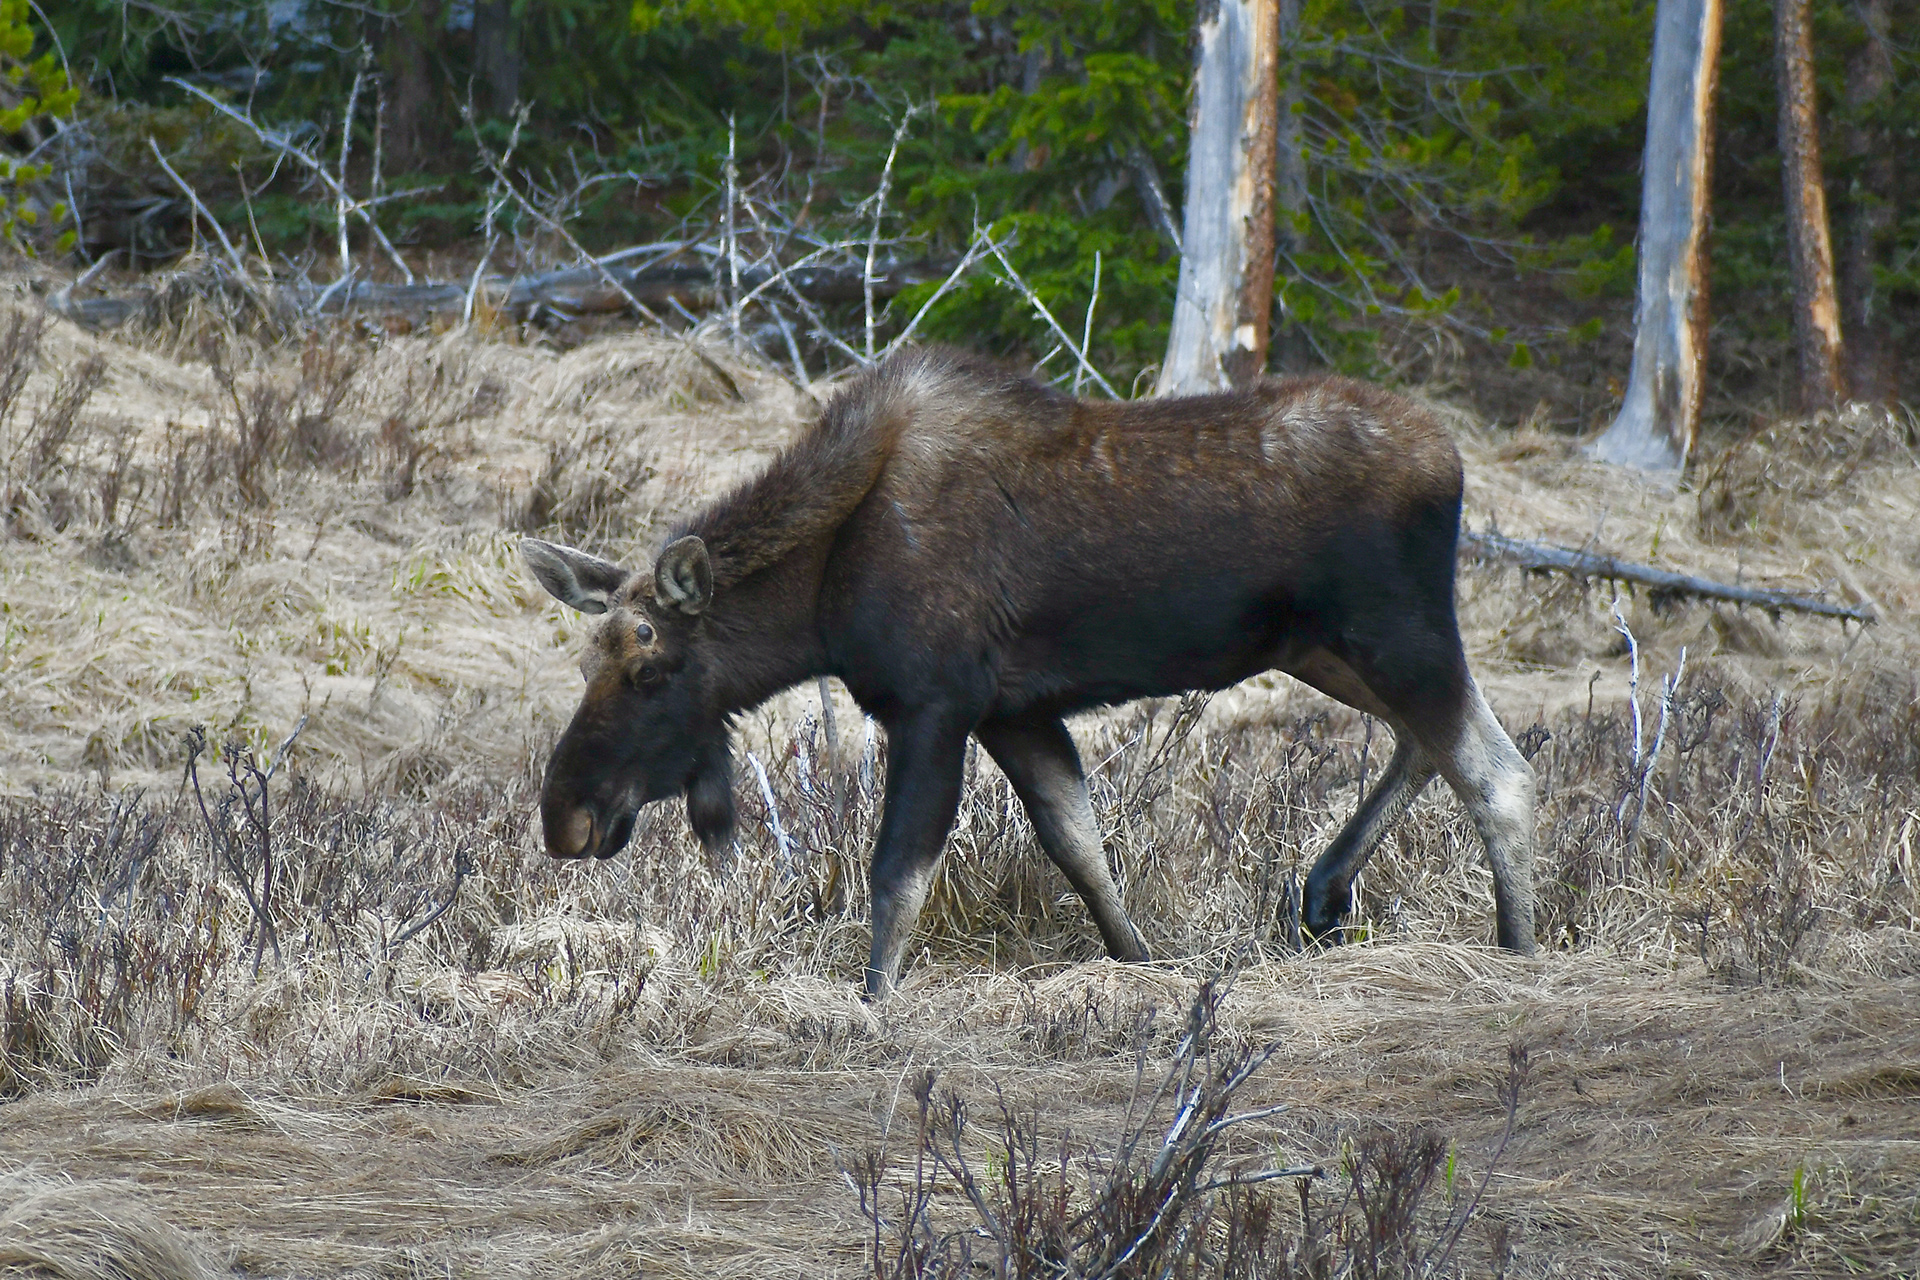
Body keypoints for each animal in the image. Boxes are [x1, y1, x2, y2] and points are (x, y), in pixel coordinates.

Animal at [522, 346, 1536, 997]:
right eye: (589, 659)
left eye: (654, 669)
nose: (565, 817)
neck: (822, 597)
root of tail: (1452, 458)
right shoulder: (1012, 711)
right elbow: (1079, 845)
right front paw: (1143, 967)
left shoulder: (934, 702)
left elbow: (897, 874)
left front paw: (871, 1009)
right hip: (1322, 644)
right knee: (1429, 745)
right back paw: (1324, 892)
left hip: (1396, 629)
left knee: (1498, 769)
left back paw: (1519, 953)